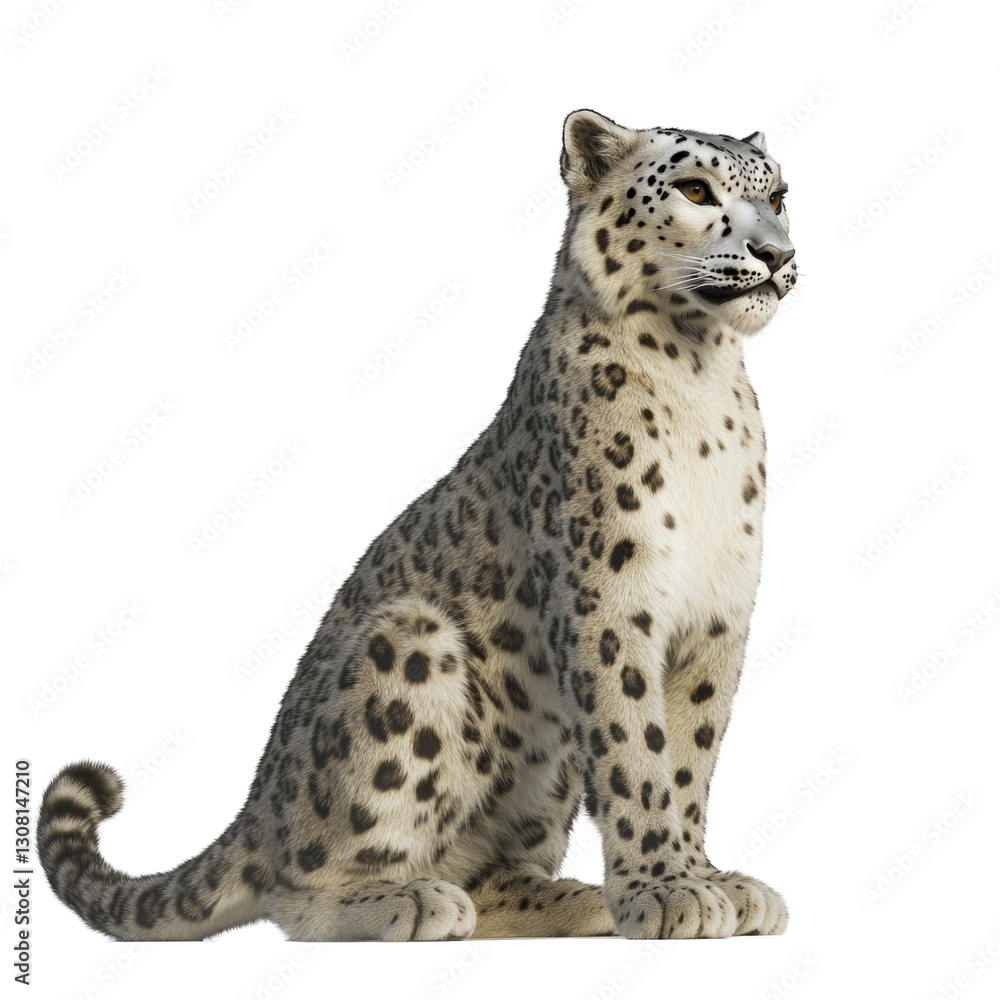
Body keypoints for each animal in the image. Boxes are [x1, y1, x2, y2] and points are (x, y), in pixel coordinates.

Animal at [40, 109, 797, 941]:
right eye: (695, 190)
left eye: (780, 196)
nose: (778, 254)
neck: (702, 373)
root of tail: (257, 802)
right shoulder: (609, 602)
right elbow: (637, 746)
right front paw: (666, 889)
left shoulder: (716, 618)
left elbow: (690, 755)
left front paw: (707, 879)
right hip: (406, 646)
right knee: (299, 885)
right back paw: (411, 899)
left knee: (487, 869)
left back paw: (569, 898)